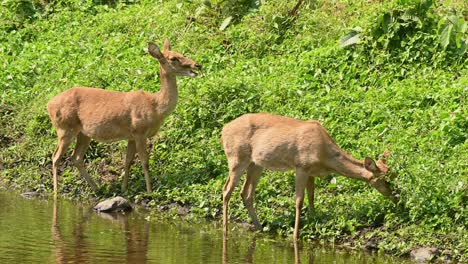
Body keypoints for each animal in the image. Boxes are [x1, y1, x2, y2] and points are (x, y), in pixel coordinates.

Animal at [47, 39, 201, 196]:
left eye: (182, 53)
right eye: (173, 58)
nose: (197, 65)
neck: (155, 106)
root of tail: (48, 105)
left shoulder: (131, 136)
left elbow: (128, 161)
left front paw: (124, 188)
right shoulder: (139, 132)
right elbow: (145, 162)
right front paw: (149, 191)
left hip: (83, 133)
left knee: (76, 157)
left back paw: (97, 188)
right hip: (64, 128)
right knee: (56, 157)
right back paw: (56, 193)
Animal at [221, 113, 396, 241]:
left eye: (393, 175)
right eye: (384, 179)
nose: (395, 196)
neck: (325, 157)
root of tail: (223, 130)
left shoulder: (312, 172)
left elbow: (311, 197)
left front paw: (314, 221)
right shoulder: (302, 167)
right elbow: (299, 201)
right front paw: (295, 235)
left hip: (256, 163)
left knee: (245, 193)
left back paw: (259, 227)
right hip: (236, 158)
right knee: (226, 190)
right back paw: (225, 229)